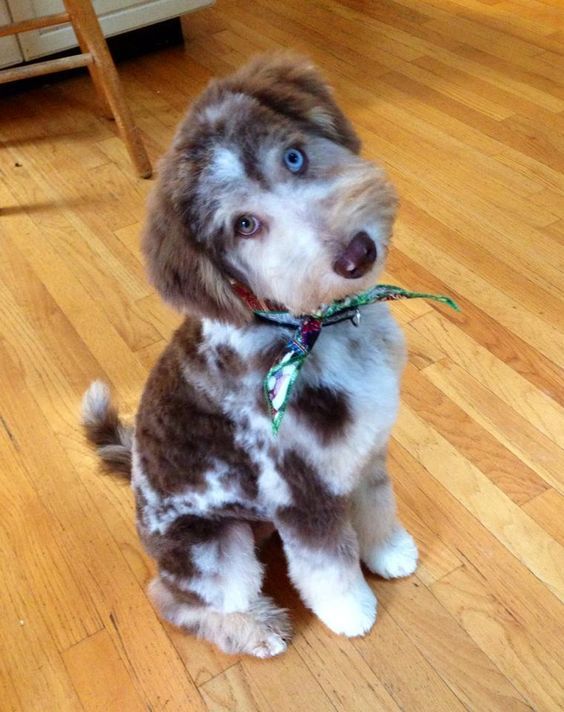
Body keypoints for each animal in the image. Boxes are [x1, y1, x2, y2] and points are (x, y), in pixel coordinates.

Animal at [83, 52, 418, 660]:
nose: (357, 254)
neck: (315, 327)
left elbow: (377, 506)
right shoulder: (298, 492)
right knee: (178, 599)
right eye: (244, 226)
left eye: (294, 156)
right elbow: (326, 565)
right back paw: (257, 626)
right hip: (212, 544)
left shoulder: (363, 453)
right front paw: (351, 613)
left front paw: (388, 552)